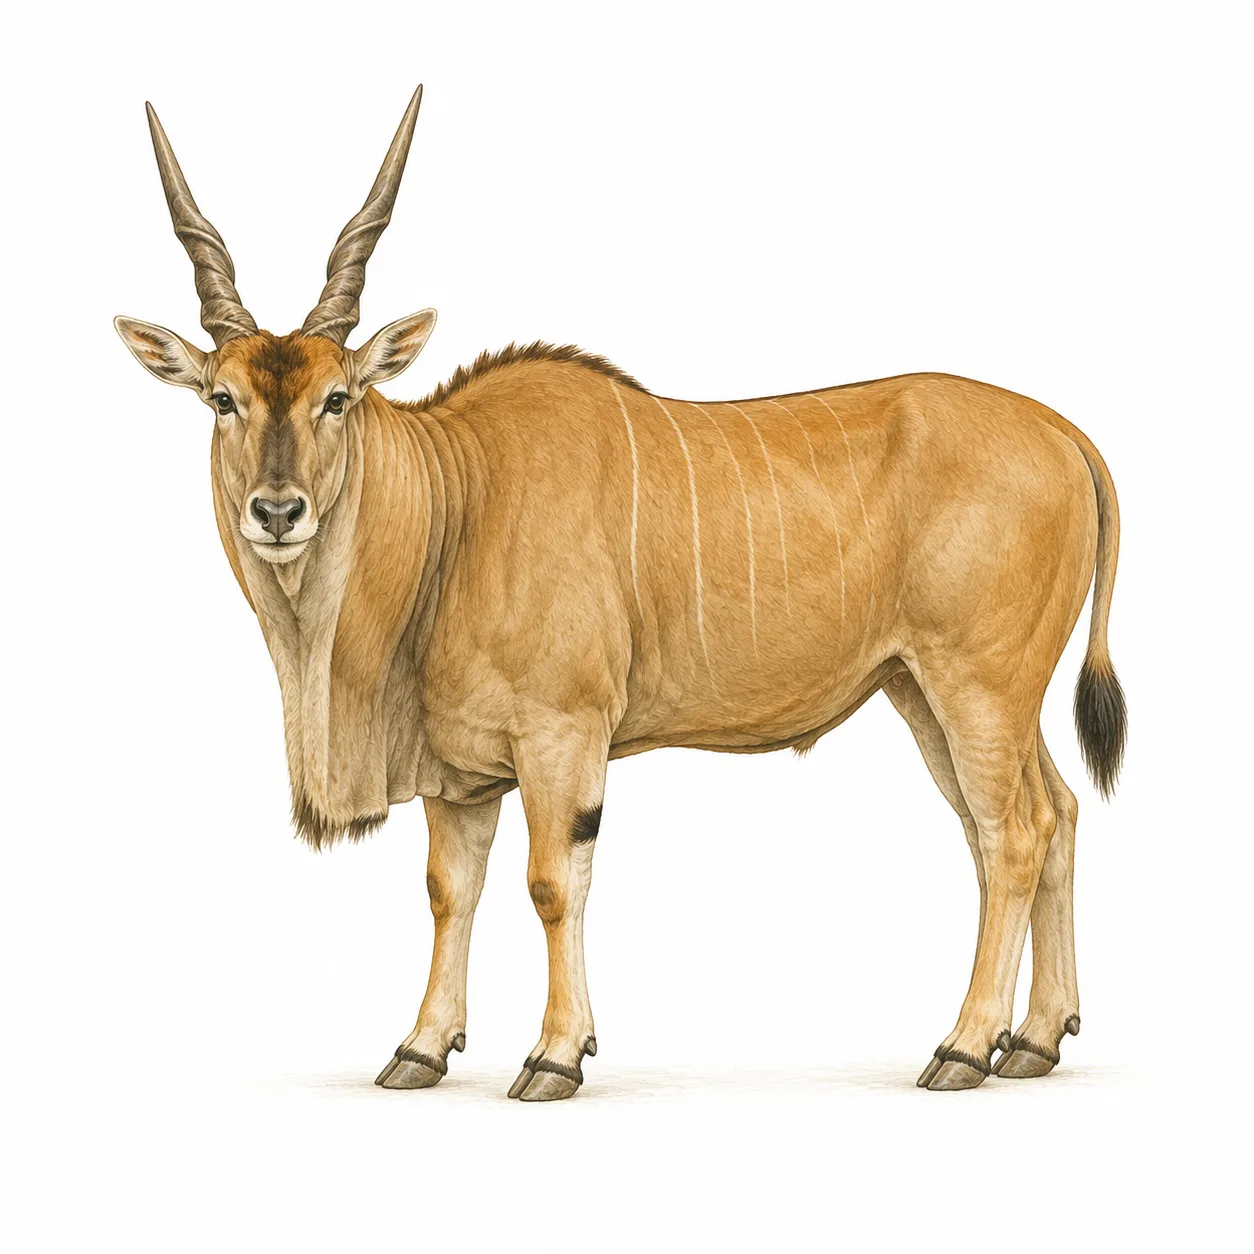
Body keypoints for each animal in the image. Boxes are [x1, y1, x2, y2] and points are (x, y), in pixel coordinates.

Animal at [115, 85, 1125, 1099]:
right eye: (223, 400)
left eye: (337, 398)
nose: (277, 511)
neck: (458, 500)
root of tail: (1065, 434)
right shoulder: (461, 775)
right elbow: (450, 890)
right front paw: (420, 1049)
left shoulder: (562, 735)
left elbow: (552, 883)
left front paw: (556, 1054)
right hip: (931, 692)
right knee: (1054, 815)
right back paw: (1035, 1039)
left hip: (977, 688)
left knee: (1012, 833)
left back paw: (964, 1046)